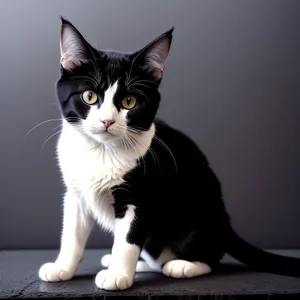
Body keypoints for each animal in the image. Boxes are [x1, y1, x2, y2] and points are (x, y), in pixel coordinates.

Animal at [38, 17, 300, 290]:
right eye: (89, 96)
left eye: (130, 101)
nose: (107, 121)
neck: (101, 150)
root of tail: (226, 225)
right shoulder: (75, 194)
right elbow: (71, 235)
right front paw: (62, 268)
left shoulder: (141, 193)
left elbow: (128, 239)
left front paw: (117, 275)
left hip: (198, 216)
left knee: (209, 257)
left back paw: (182, 265)